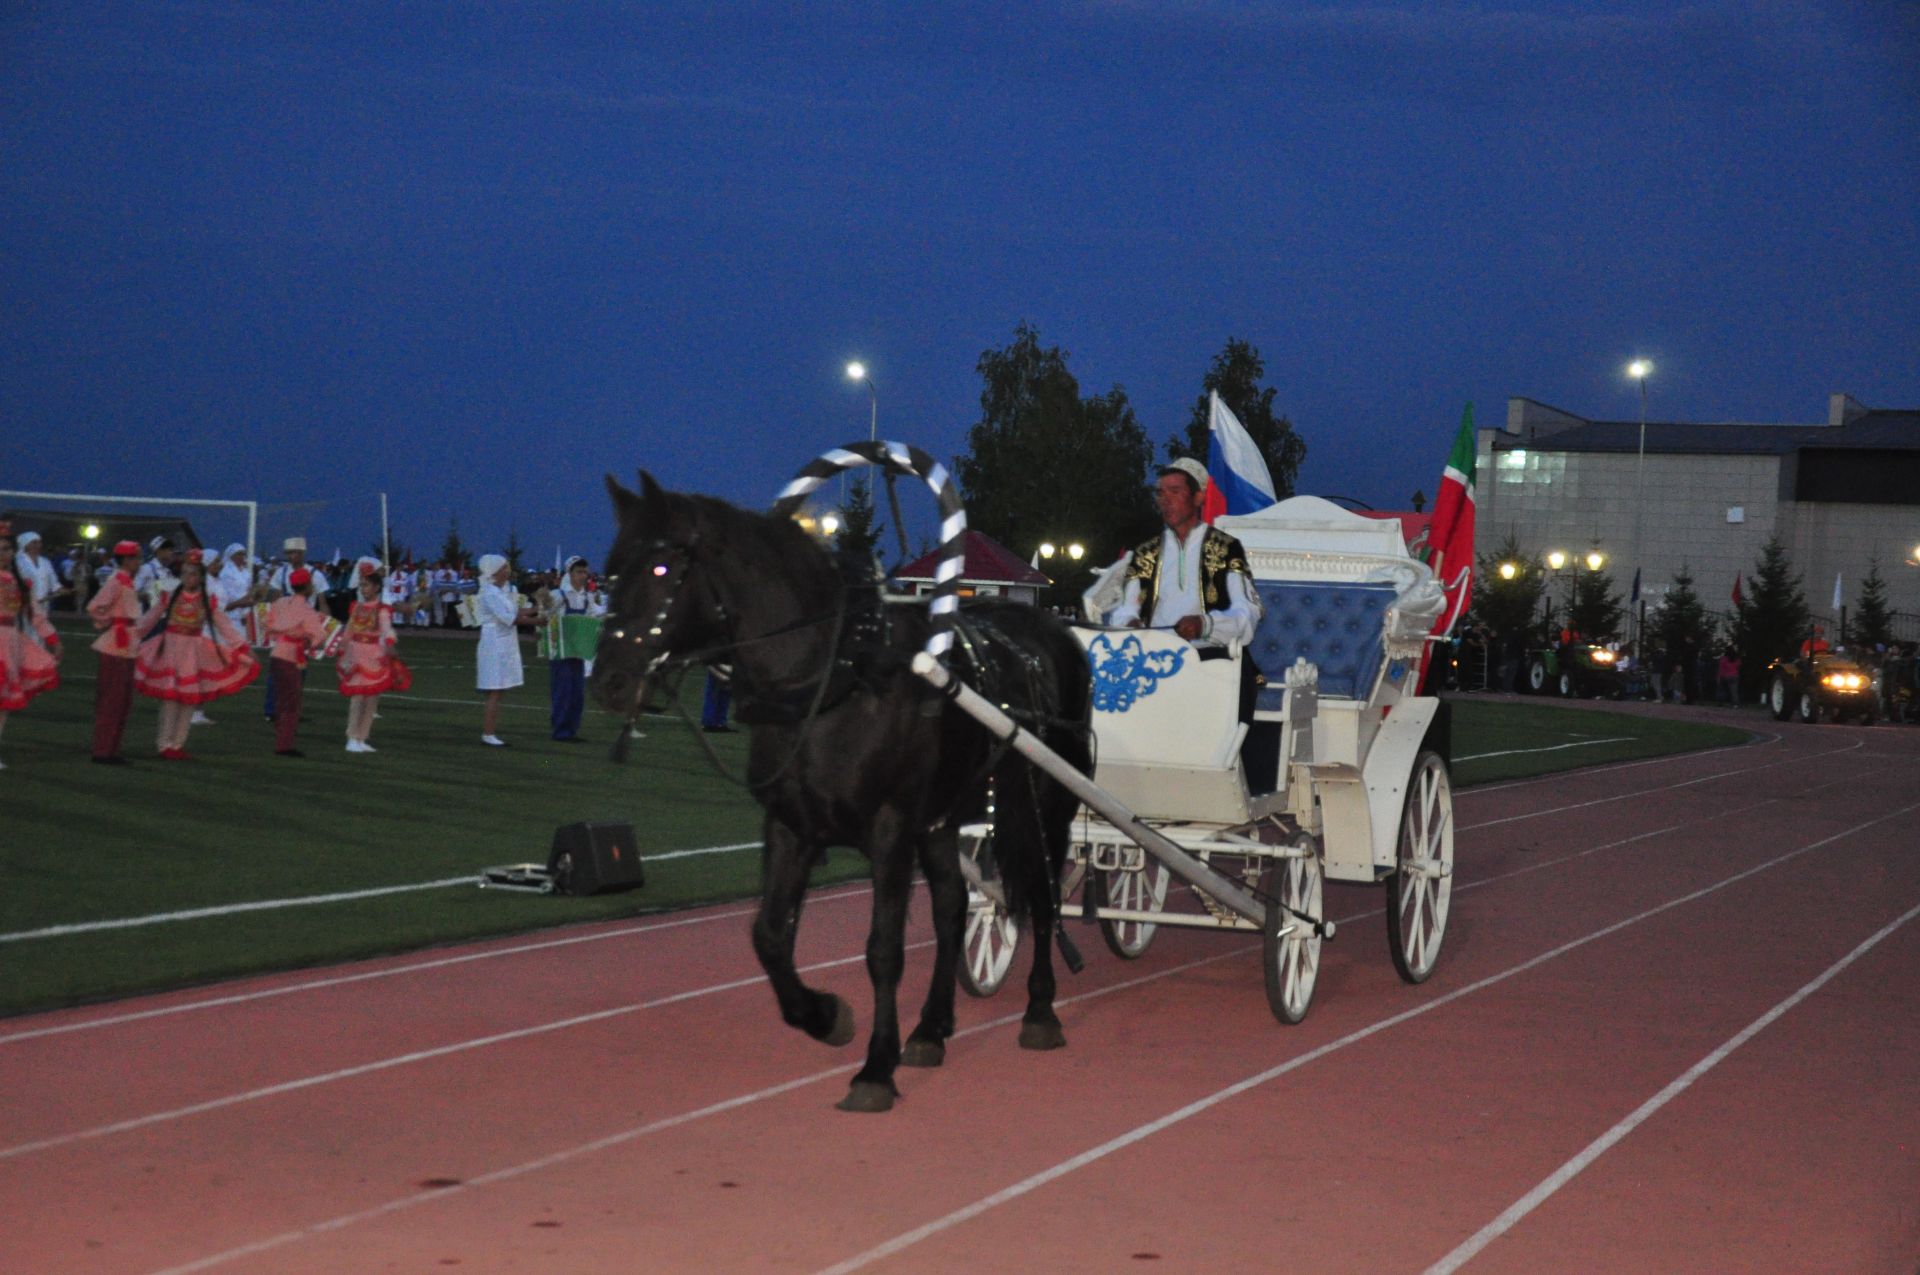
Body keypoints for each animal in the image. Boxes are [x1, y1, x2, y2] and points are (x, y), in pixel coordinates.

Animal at [591, 472, 1090, 1113]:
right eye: (608, 571)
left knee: (1043, 895)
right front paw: (824, 1016)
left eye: (659, 568)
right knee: (954, 908)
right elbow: (769, 936)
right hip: (943, 816)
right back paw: (931, 1027)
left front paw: (875, 1067)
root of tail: (1056, 630)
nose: (608, 681)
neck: (837, 676)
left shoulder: (890, 830)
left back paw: (1040, 1009)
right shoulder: (790, 825)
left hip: (1043, 804)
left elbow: (883, 950)